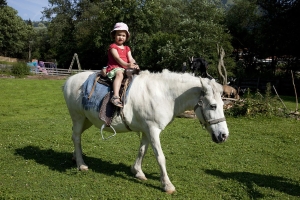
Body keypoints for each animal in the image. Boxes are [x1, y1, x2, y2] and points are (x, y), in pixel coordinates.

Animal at [62, 69, 229, 193]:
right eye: (213, 106)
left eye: (222, 105)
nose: (224, 135)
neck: (164, 94)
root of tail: (69, 81)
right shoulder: (153, 130)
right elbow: (160, 157)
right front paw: (167, 185)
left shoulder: (147, 130)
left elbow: (142, 150)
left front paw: (137, 171)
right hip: (78, 117)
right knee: (76, 138)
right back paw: (81, 164)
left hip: (87, 120)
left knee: (75, 135)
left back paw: (75, 157)